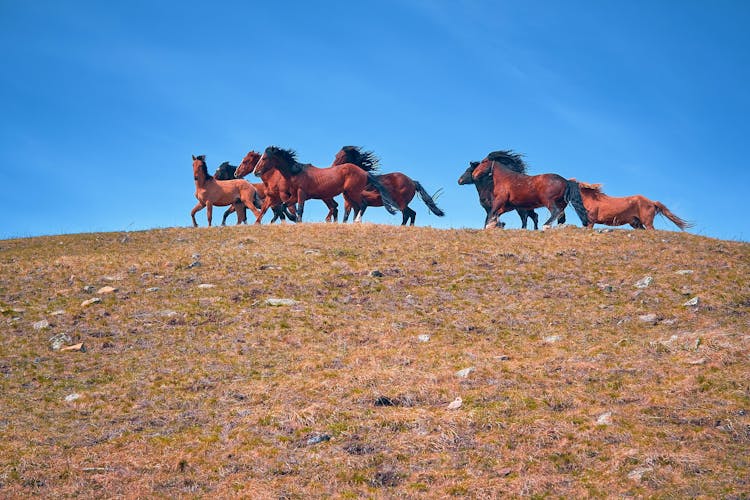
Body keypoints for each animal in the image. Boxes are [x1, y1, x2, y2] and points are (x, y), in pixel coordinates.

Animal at [253, 146, 400, 222]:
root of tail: (364, 172)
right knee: (356, 207)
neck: (296, 172)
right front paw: (293, 218)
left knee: (362, 205)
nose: (256, 171)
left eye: (264, 158)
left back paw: (356, 221)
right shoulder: (294, 196)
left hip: (352, 192)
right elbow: (284, 206)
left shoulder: (301, 194)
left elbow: (300, 209)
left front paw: (297, 220)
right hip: (348, 194)